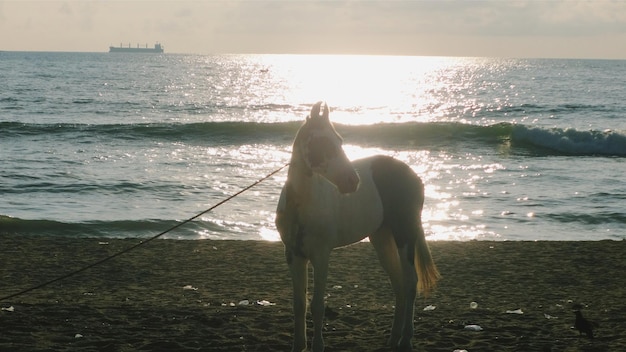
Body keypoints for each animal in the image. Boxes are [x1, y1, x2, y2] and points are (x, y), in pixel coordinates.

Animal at [272, 100, 438, 350]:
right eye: (323, 142)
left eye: (339, 140)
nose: (352, 181)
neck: (303, 205)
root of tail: (412, 175)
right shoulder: (294, 255)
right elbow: (299, 305)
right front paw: (298, 346)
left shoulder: (321, 255)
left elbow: (317, 306)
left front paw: (318, 346)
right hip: (382, 238)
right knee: (399, 285)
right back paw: (392, 339)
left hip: (405, 235)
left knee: (410, 284)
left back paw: (406, 340)